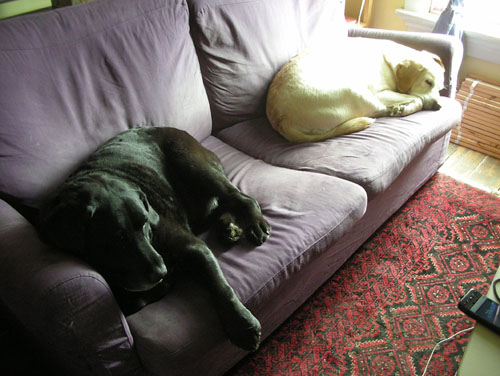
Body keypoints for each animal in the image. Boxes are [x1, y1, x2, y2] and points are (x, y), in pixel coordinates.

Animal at [38, 127, 272, 352]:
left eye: (144, 223)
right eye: (117, 237)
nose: (162, 271)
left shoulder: (194, 247)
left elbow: (220, 286)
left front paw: (241, 324)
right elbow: (137, 299)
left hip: (192, 164)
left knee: (241, 198)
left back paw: (254, 223)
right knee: (223, 204)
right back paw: (228, 228)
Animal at [266, 38, 446, 143]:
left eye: (441, 87)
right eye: (428, 82)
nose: (439, 106)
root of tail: (281, 119)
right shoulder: (381, 93)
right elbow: (419, 100)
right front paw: (405, 107)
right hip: (357, 91)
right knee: (378, 111)